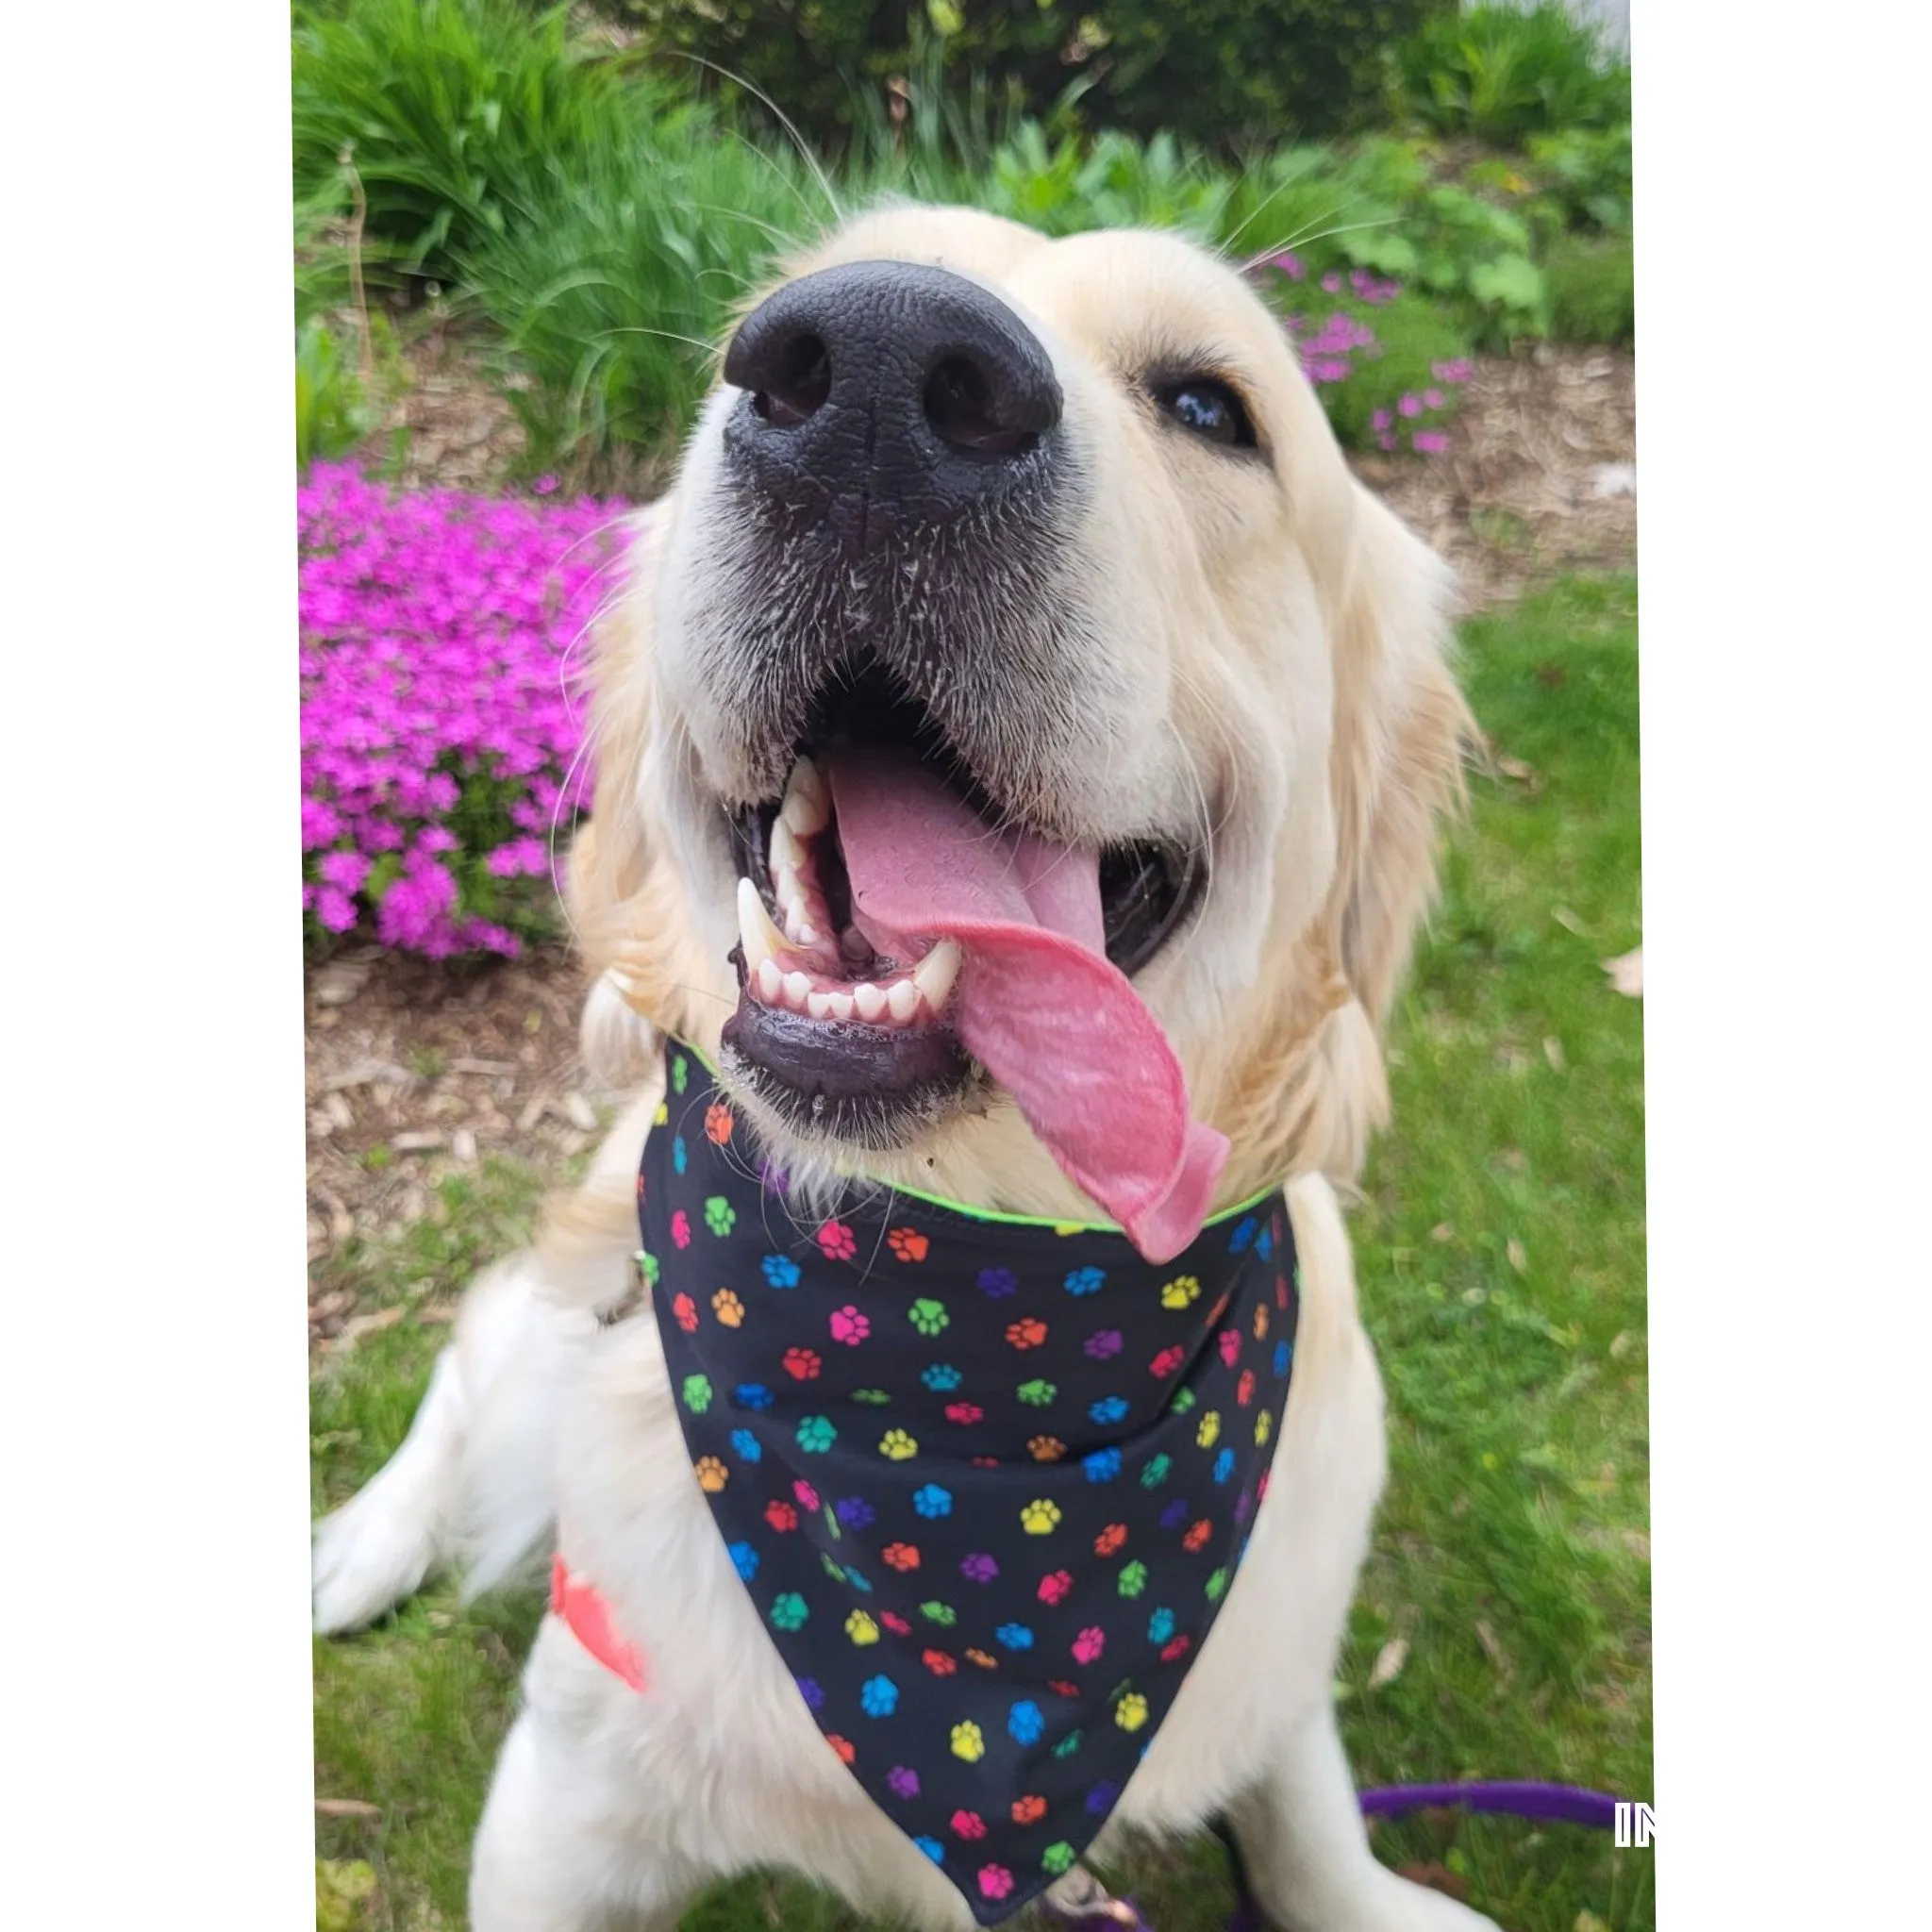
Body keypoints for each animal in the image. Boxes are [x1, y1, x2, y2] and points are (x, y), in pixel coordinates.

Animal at [320, 211, 1491, 1932]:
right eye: (754, 331)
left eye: (1209, 407)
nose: (870, 368)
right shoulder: (557, 1810)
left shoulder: (1272, 1662)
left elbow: (1307, 1820)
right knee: (474, 1367)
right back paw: (355, 1543)